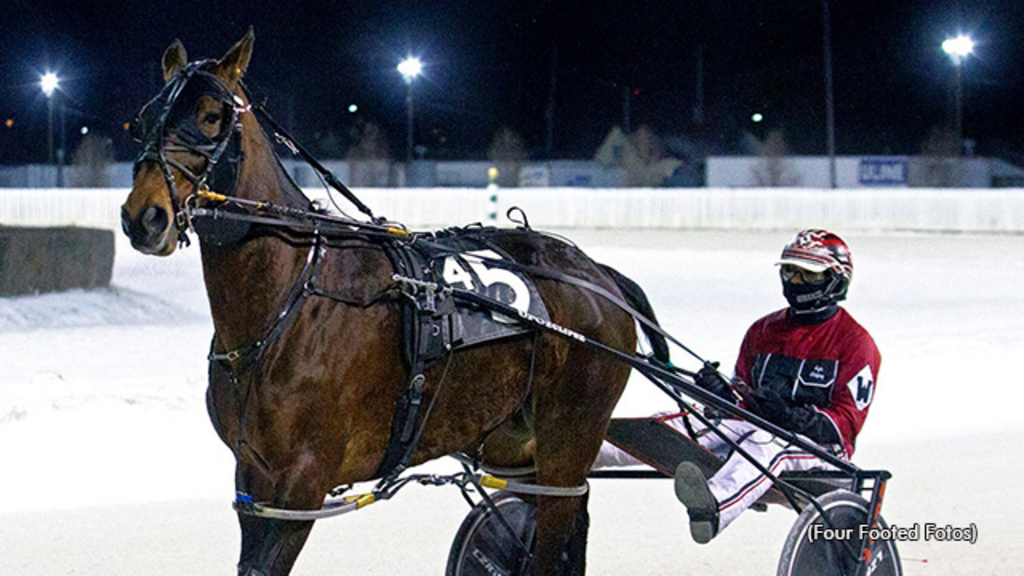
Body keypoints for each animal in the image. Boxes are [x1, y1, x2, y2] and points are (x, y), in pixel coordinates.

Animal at [119, 31, 647, 573]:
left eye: (209, 116)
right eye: (143, 119)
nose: (144, 217)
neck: (289, 301)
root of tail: (597, 274)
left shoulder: (302, 483)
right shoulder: (253, 479)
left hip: (570, 433)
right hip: (513, 440)